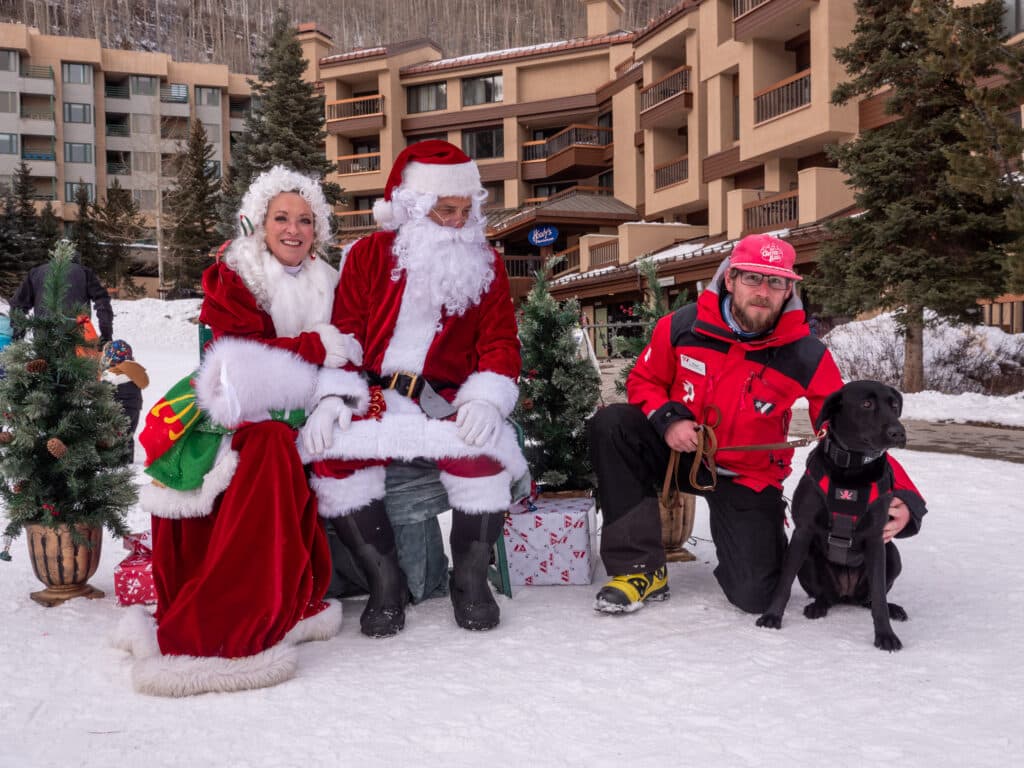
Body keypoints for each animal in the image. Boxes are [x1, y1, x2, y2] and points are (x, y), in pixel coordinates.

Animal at [757, 382, 909, 651]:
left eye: (894, 405)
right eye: (866, 404)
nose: (898, 433)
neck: (852, 469)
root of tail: (846, 595)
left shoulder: (876, 539)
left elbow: (879, 595)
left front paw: (885, 635)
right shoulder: (803, 531)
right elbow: (784, 582)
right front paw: (772, 616)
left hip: (892, 555)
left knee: (870, 599)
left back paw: (894, 609)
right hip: (809, 559)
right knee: (824, 595)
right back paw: (818, 606)